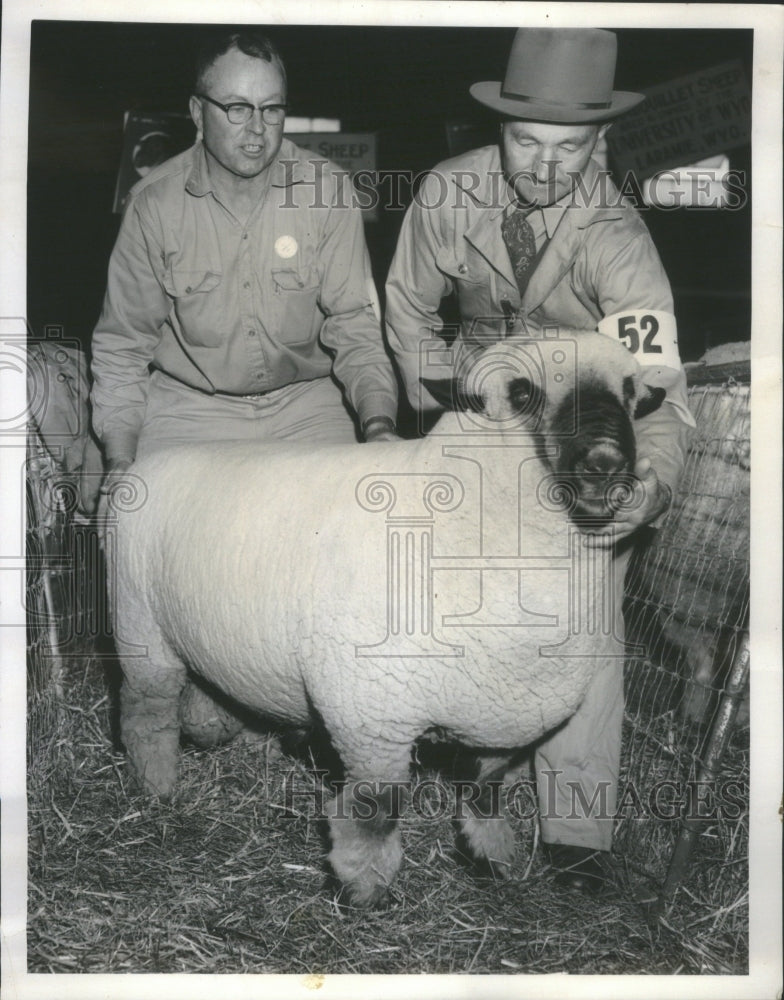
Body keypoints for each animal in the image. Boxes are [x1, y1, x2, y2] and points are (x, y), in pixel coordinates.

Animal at [107, 334, 664, 908]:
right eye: (521, 391)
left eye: (629, 392)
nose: (605, 463)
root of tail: (145, 464)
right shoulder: (371, 712)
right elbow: (377, 808)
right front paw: (364, 887)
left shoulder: (503, 710)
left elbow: (486, 789)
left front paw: (490, 854)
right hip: (141, 627)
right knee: (145, 711)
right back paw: (156, 787)